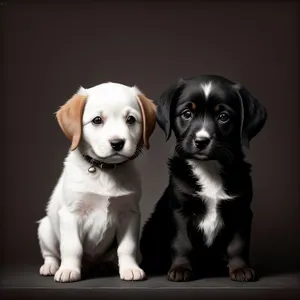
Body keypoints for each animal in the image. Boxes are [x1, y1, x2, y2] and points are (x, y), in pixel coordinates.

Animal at [37, 82, 157, 284]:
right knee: (51, 253)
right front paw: (69, 270)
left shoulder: (130, 214)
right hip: (45, 228)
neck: (104, 170)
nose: (117, 143)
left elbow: (127, 247)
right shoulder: (71, 214)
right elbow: (72, 247)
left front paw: (130, 269)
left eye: (131, 119)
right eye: (97, 120)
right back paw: (51, 266)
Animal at [140, 74, 268, 282]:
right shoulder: (180, 210)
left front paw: (240, 269)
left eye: (223, 117)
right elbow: (182, 243)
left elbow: (238, 245)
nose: (201, 141)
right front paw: (181, 268)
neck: (209, 168)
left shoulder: (241, 210)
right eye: (187, 114)